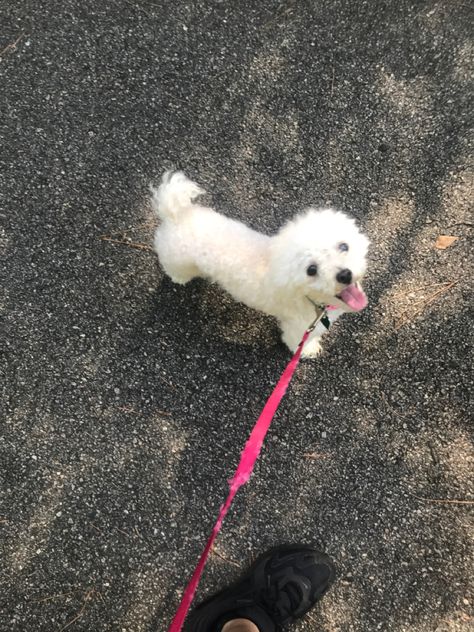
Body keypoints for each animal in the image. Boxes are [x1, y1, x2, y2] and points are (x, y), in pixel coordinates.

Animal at [154, 170, 368, 356]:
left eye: (343, 246)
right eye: (312, 270)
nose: (345, 274)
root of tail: (176, 216)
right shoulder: (298, 328)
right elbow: (299, 343)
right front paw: (309, 350)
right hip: (177, 260)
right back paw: (179, 278)